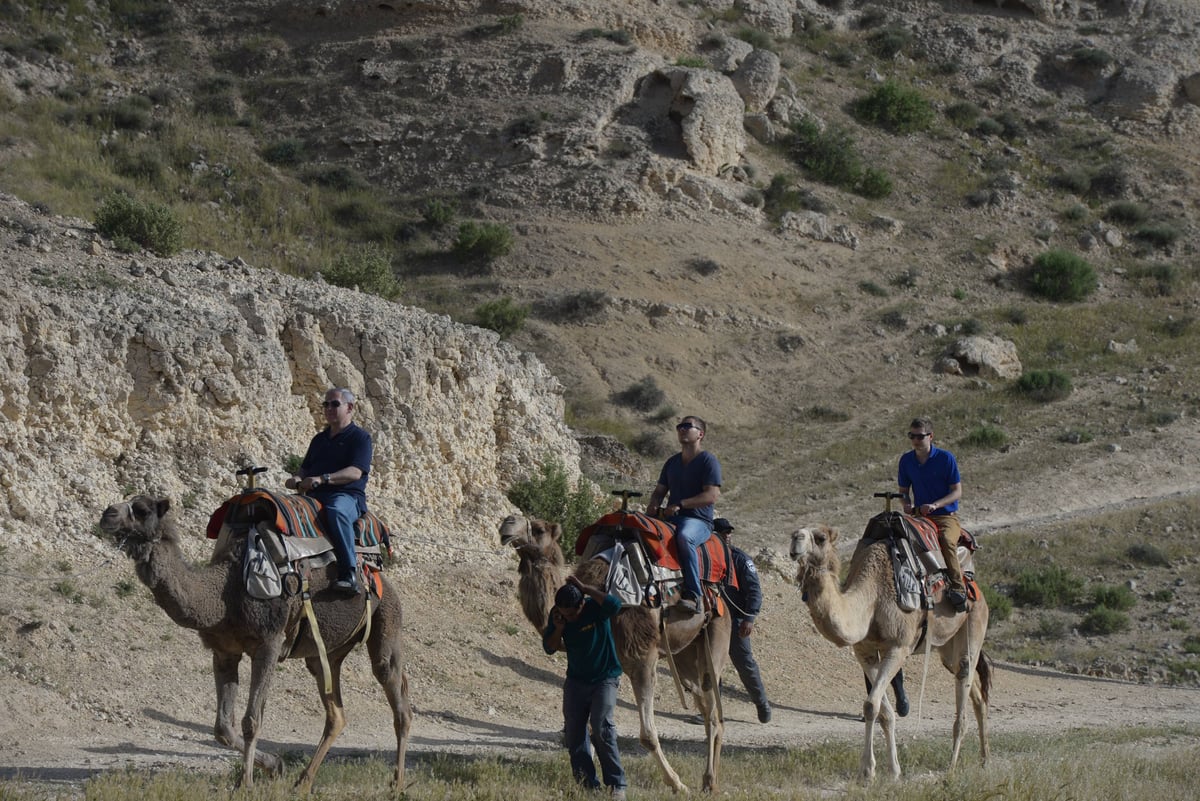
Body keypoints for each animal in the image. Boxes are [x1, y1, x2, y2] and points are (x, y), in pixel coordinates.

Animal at [96, 494, 412, 796]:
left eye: (142, 509)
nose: (107, 514)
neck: (225, 595)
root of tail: (380, 573)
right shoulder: (224, 651)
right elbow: (223, 727)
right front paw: (275, 765)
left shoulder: (269, 643)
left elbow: (251, 720)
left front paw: (245, 783)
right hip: (326, 653)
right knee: (335, 712)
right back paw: (303, 783)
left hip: (388, 617)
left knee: (396, 698)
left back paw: (396, 784)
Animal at [496, 515, 729, 791]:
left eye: (540, 529)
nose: (507, 523)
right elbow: (589, 728)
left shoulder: (642, 660)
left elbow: (647, 735)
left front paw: (676, 784)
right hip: (685, 652)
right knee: (706, 707)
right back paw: (710, 780)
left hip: (717, 632)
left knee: (713, 712)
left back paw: (710, 782)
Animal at [787, 522, 993, 777]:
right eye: (794, 532)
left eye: (821, 537)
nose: (795, 539)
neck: (872, 600)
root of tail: (976, 589)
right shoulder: (864, 651)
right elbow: (878, 709)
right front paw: (888, 770)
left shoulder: (898, 647)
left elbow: (872, 703)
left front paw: (870, 771)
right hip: (946, 646)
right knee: (975, 691)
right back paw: (985, 760)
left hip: (974, 620)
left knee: (965, 675)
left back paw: (952, 767)